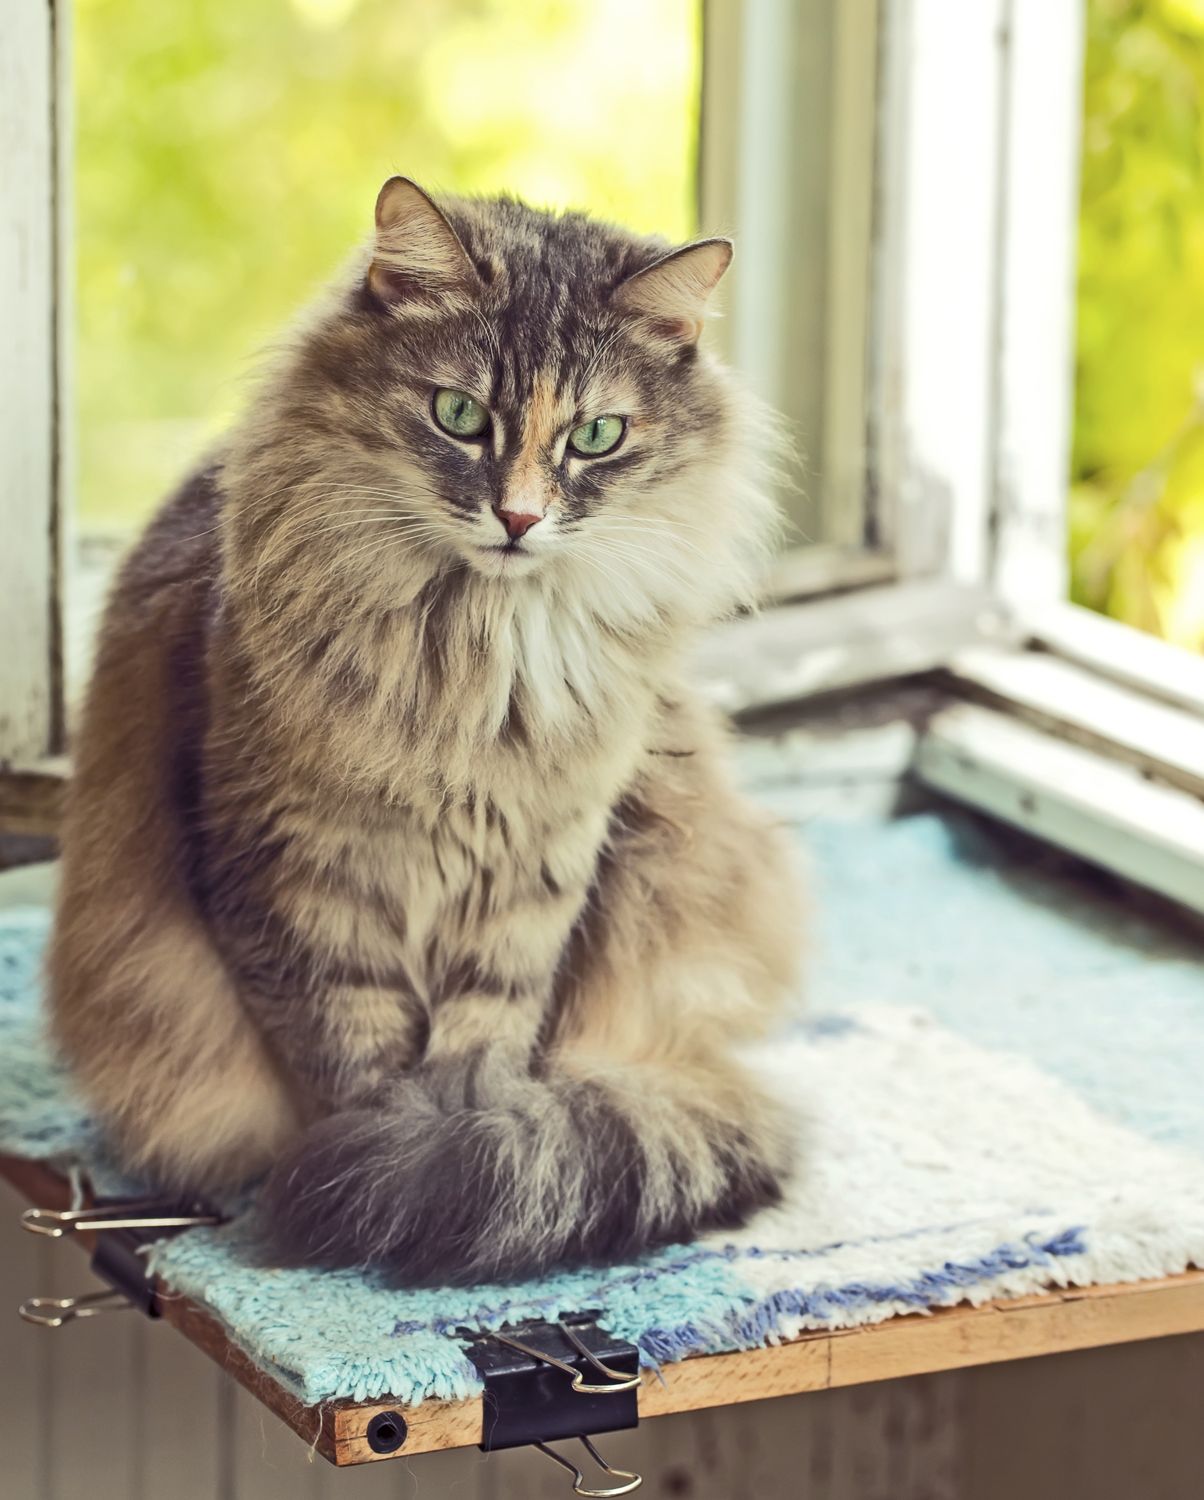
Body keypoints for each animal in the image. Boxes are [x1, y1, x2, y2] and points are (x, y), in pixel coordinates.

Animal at [49, 172, 797, 1278]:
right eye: (459, 415)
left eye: (596, 436)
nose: (519, 519)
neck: (479, 669)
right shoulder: (298, 878)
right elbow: (351, 1053)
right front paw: (386, 1172)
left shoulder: (536, 880)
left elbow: (481, 1044)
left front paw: (445, 1157)